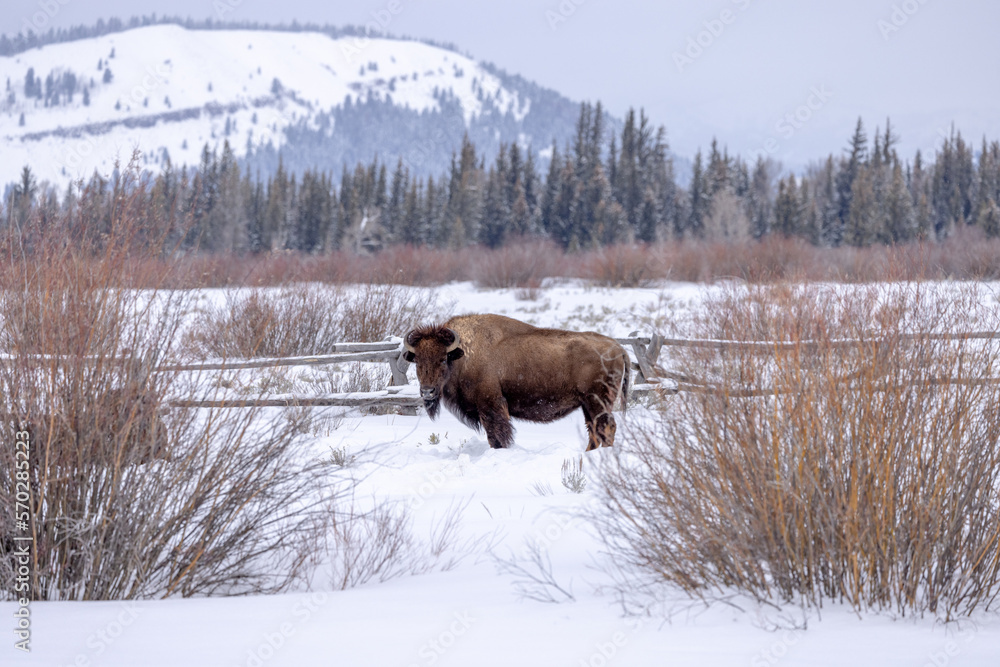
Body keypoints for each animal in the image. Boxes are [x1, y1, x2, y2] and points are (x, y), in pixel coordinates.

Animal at [402, 316, 628, 452]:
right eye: (417, 361)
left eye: (442, 359)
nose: (427, 391)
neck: (462, 355)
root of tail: (618, 347)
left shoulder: (491, 406)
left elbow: (498, 435)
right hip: (587, 405)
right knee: (594, 430)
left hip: (597, 402)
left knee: (606, 427)